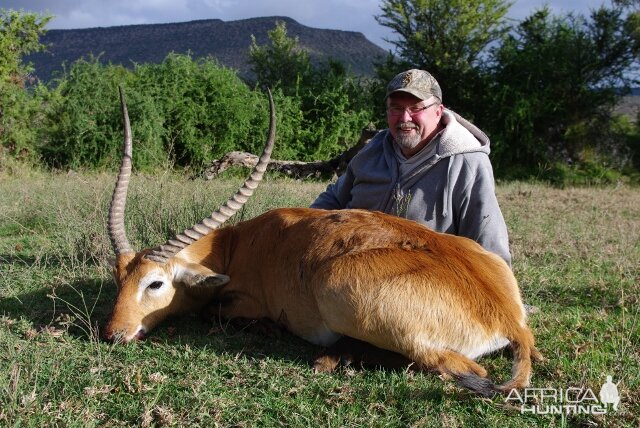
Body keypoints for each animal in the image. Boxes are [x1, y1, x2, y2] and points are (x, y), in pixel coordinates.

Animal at [104, 88, 540, 398]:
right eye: (118, 279)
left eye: (155, 283)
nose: (112, 334)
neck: (238, 245)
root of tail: (506, 316)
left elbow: (213, 312)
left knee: (460, 368)